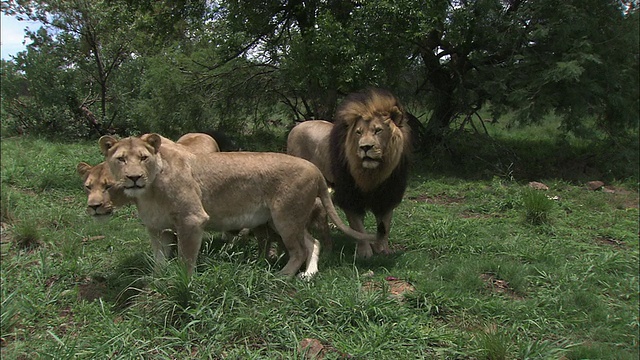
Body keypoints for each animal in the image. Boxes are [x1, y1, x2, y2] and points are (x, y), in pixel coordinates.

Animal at [95, 134, 376, 278]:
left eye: (143, 158)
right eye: (121, 159)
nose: (134, 177)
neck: (149, 191)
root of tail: (315, 169)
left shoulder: (192, 220)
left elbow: (186, 259)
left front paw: (182, 283)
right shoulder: (158, 229)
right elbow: (159, 259)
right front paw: (159, 281)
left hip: (285, 217)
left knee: (298, 250)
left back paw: (283, 276)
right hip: (284, 219)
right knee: (311, 242)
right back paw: (308, 274)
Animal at [288, 88, 412, 258]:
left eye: (378, 130)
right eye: (358, 132)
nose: (365, 147)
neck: (373, 173)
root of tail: (297, 126)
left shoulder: (387, 195)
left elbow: (385, 225)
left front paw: (383, 250)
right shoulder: (349, 196)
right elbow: (358, 226)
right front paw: (365, 253)